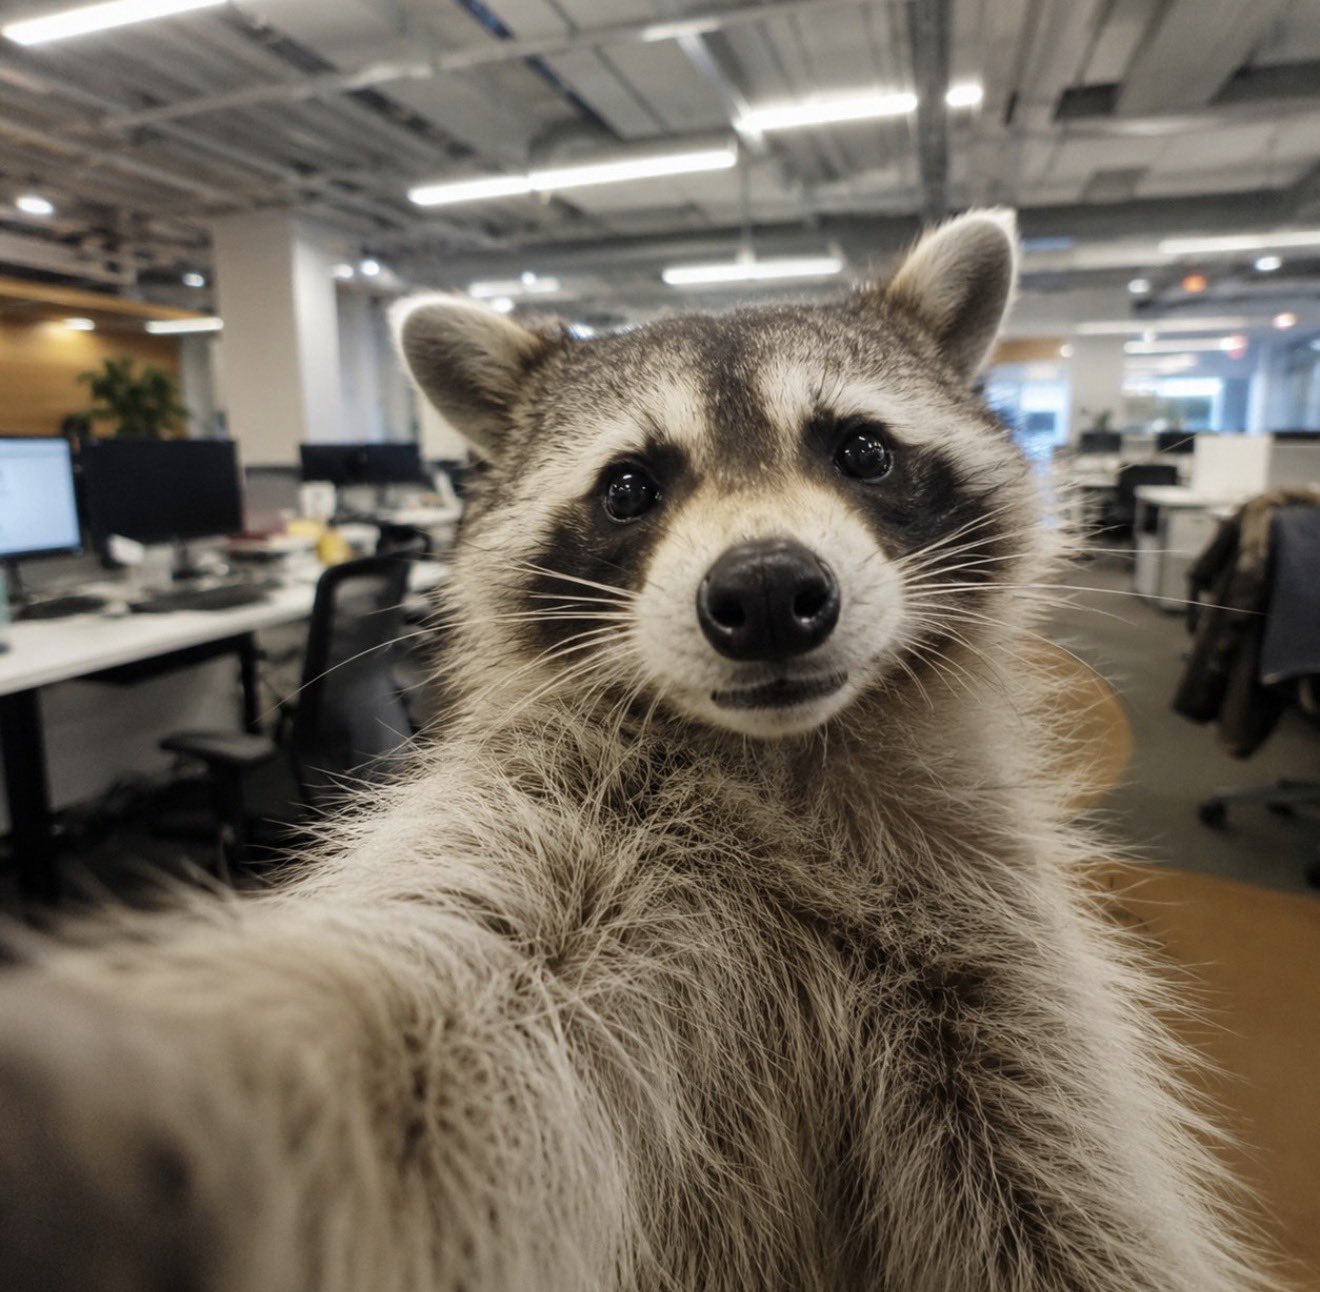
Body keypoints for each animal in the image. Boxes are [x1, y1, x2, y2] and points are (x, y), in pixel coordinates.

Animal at [0, 211, 1271, 1292]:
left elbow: (1071, 1184)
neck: (782, 761)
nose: (767, 594)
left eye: (862, 451)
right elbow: (432, 1014)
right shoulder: (557, 847)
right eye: (628, 486)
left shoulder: (998, 965)